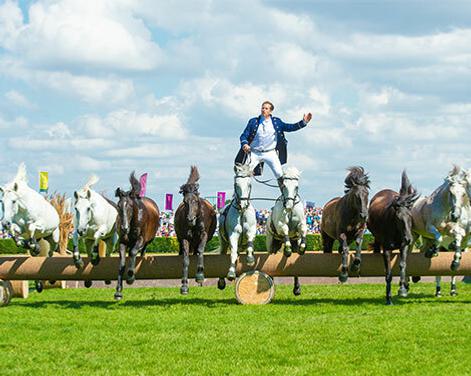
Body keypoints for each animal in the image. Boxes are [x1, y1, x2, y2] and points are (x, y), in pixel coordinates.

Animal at [174, 166, 217, 296]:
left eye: (196, 201)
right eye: (185, 202)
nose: (190, 219)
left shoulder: (204, 234)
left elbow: (200, 250)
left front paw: (200, 276)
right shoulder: (185, 238)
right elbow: (185, 259)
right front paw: (184, 285)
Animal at [268, 167, 308, 296]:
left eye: (296, 187)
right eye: (284, 186)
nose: (289, 206)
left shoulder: (301, 223)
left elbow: (303, 229)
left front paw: (303, 248)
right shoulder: (281, 224)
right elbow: (285, 229)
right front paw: (287, 250)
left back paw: (297, 288)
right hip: (271, 244)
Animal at [368, 172, 420, 304]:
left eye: (410, 216)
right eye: (399, 218)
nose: (409, 239)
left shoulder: (403, 246)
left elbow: (402, 265)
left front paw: (403, 288)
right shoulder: (386, 249)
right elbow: (388, 273)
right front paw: (388, 298)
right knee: (376, 243)